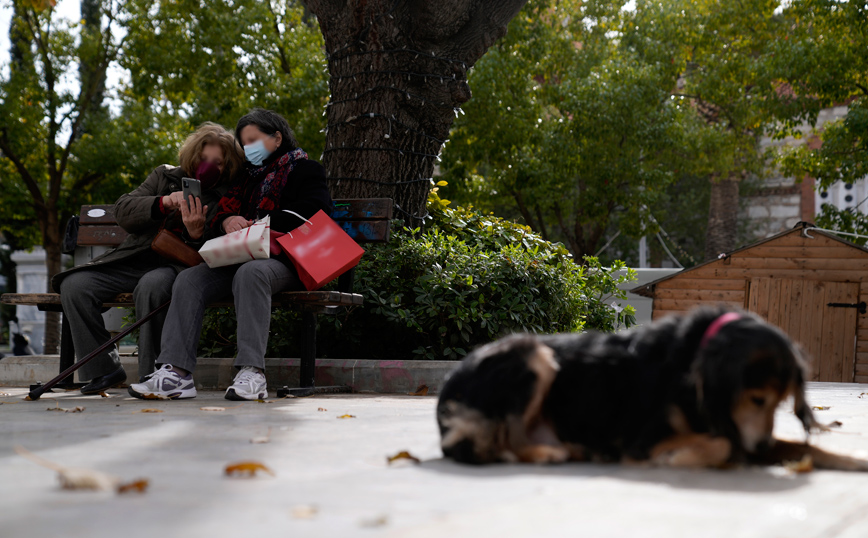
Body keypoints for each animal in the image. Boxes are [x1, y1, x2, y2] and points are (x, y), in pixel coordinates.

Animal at [438, 306, 868, 468]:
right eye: (757, 398)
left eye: (779, 403)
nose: (760, 448)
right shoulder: (642, 440)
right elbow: (720, 443)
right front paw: (685, 457)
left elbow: (805, 447)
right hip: (532, 354)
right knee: (502, 440)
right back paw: (549, 453)